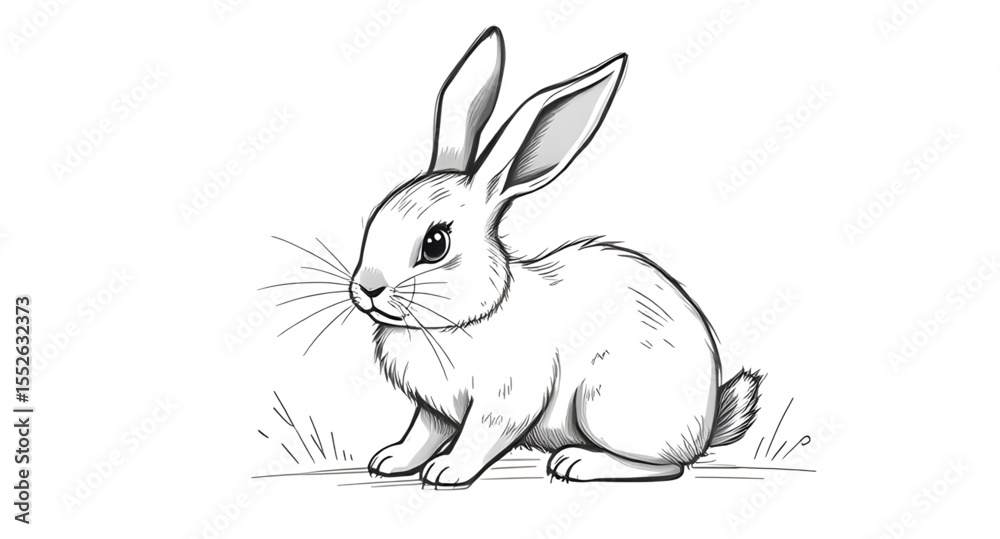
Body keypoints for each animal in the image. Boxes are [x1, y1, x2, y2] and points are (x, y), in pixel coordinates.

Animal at [348, 27, 762, 488]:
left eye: (435, 244)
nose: (367, 288)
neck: (469, 317)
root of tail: (706, 427)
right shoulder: (432, 409)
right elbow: (421, 433)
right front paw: (390, 460)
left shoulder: (506, 399)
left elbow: (480, 436)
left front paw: (447, 472)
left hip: (605, 405)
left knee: (667, 465)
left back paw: (576, 463)